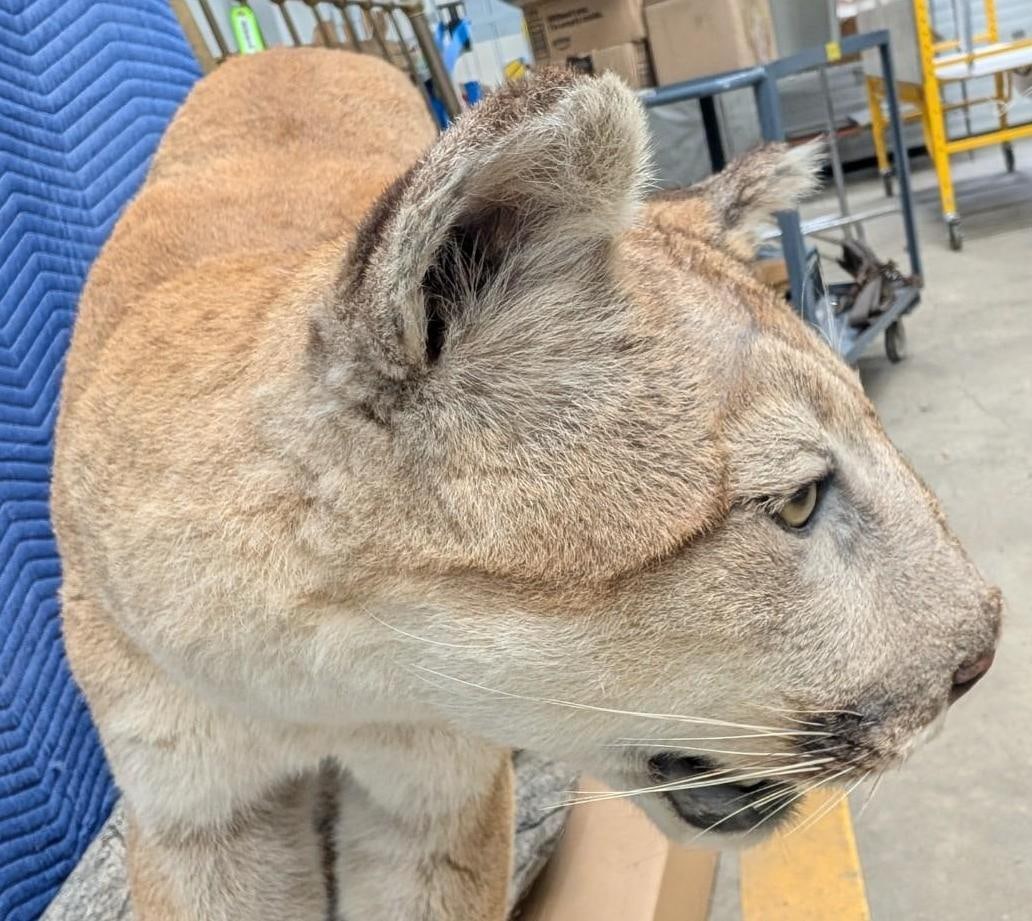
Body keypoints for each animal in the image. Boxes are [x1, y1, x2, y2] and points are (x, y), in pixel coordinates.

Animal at [51, 49, 1000, 920]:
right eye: (798, 501)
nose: (984, 654)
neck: (326, 693)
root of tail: (293, 47)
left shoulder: (439, 803)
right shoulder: (198, 817)